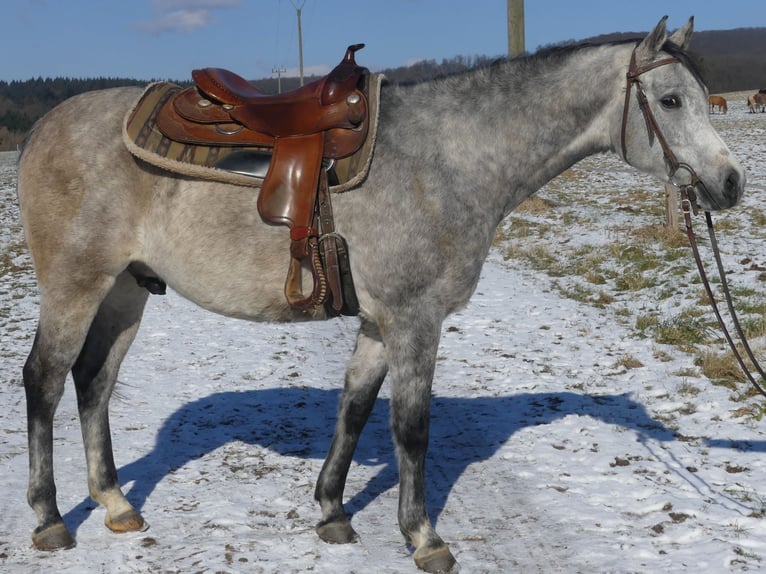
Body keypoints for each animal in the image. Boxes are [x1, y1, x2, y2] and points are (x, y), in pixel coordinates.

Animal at [18, 15, 748, 572]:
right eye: (671, 101)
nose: (731, 183)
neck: (449, 158)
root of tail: (44, 127)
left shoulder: (378, 323)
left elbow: (355, 409)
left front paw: (333, 513)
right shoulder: (415, 319)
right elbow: (412, 429)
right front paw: (423, 537)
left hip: (125, 291)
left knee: (93, 380)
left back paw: (116, 504)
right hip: (76, 285)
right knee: (46, 380)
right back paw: (51, 519)